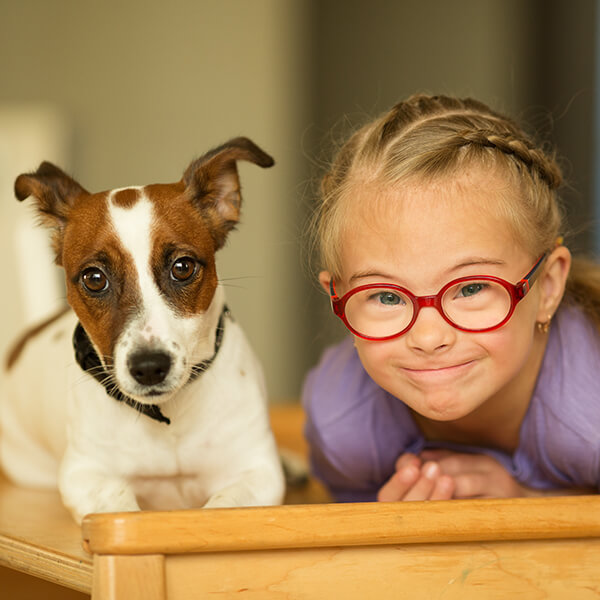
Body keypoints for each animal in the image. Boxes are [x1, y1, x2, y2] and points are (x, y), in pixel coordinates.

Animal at [0, 138, 286, 524]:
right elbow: (118, 506)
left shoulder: (257, 471)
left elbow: (223, 509)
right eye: (94, 278)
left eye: (182, 267)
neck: (167, 417)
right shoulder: (83, 474)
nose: (150, 367)